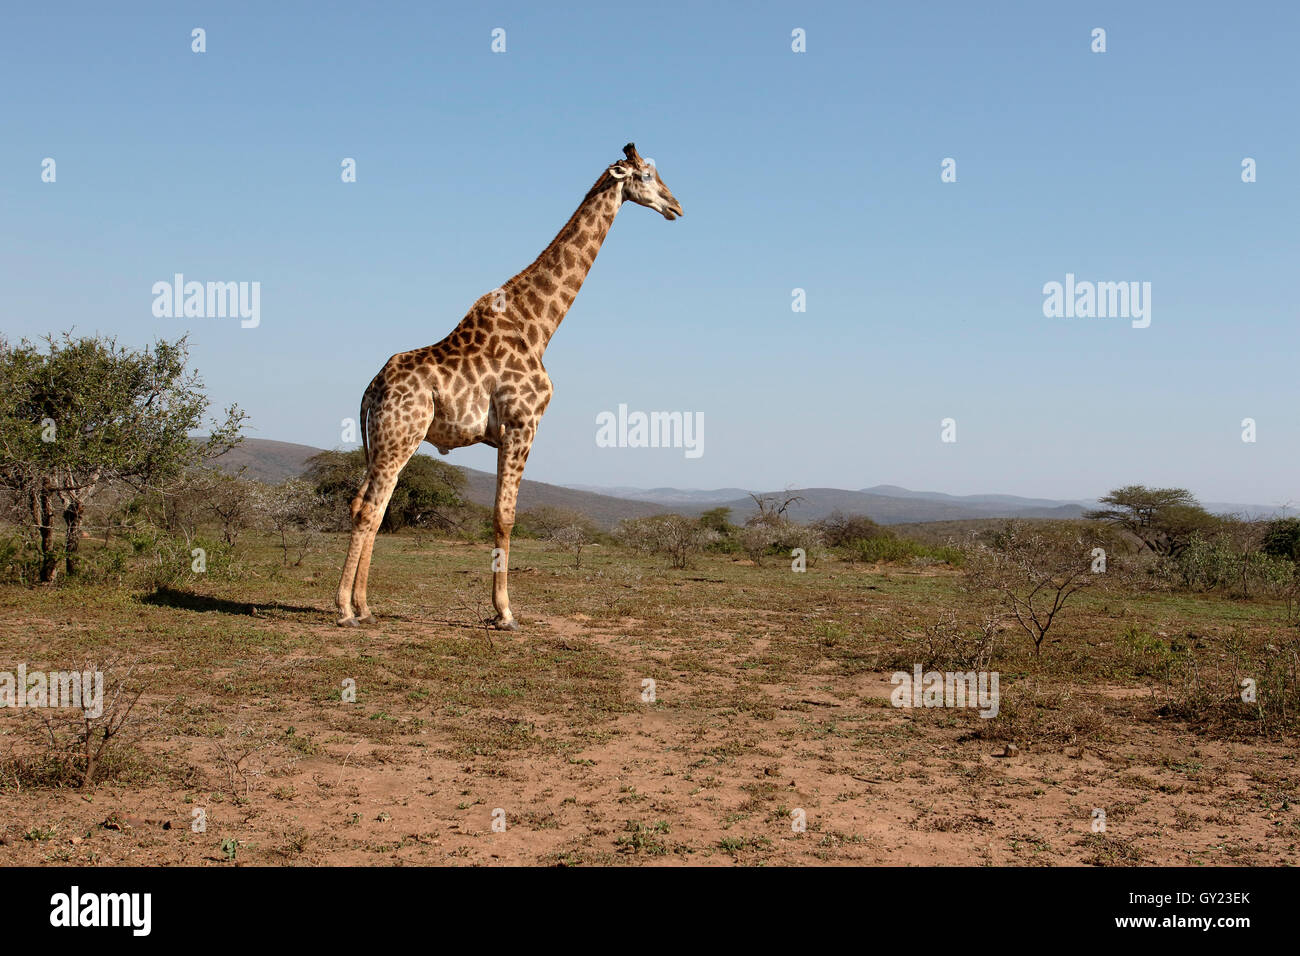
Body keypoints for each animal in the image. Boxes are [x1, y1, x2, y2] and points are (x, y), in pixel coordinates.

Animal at [335, 143, 683, 628]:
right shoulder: (523, 425)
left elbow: (499, 515)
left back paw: (365, 606)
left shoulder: (506, 433)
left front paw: (499, 609)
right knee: (369, 509)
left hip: (387, 441)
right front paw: (505, 613)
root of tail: (372, 388)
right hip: (398, 436)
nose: (676, 206)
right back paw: (345, 609)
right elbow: (505, 517)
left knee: (367, 505)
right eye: (647, 176)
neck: (539, 325)